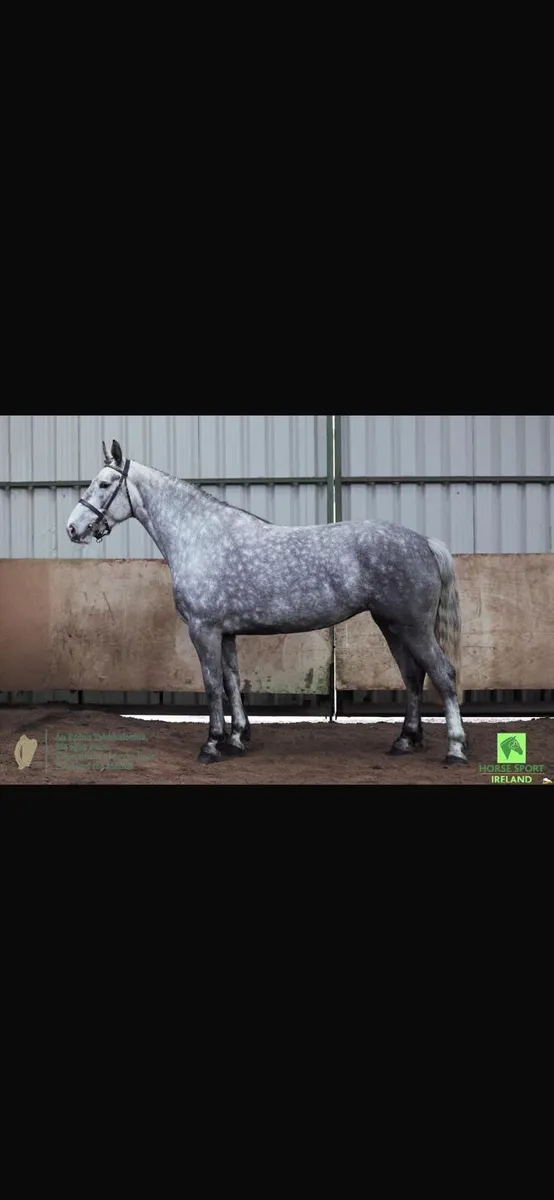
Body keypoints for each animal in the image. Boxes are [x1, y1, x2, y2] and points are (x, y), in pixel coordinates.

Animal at [66, 439, 468, 766]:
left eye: (104, 484)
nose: (73, 528)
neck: (199, 536)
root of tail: (424, 542)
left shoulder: (203, 630)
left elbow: (212, 683)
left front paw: (212, 744)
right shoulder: (225, 633)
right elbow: (231, 680)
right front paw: (237, 739)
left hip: (413, 628)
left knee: (443, 674)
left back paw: (455, 749)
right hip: (392, 626)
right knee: (413, 676)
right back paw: (405, 741)